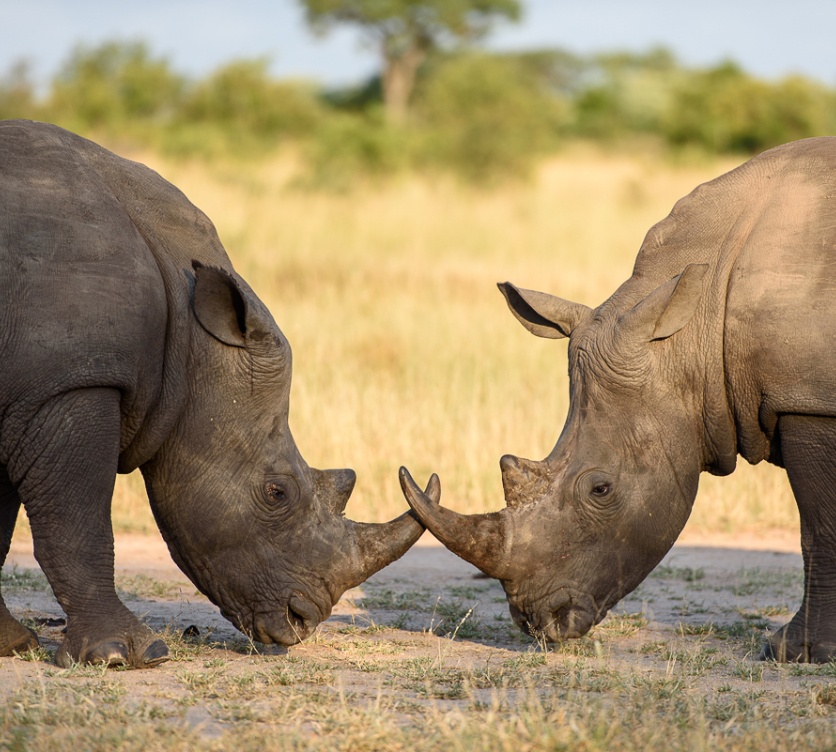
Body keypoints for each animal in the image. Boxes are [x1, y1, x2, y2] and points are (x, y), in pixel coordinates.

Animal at [0, 120, 437, 668]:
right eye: (276, 493)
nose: (302, 620)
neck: (190, 343)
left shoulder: (23, 392)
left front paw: (11, 645)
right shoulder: (72, 380)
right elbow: (78, 523)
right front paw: (126, 655)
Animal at [401, 137, 836, 663]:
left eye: (601, 489)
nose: (538, 623)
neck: (698, 328)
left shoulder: (809, 400)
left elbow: (819, 528)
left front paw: (796, 652)